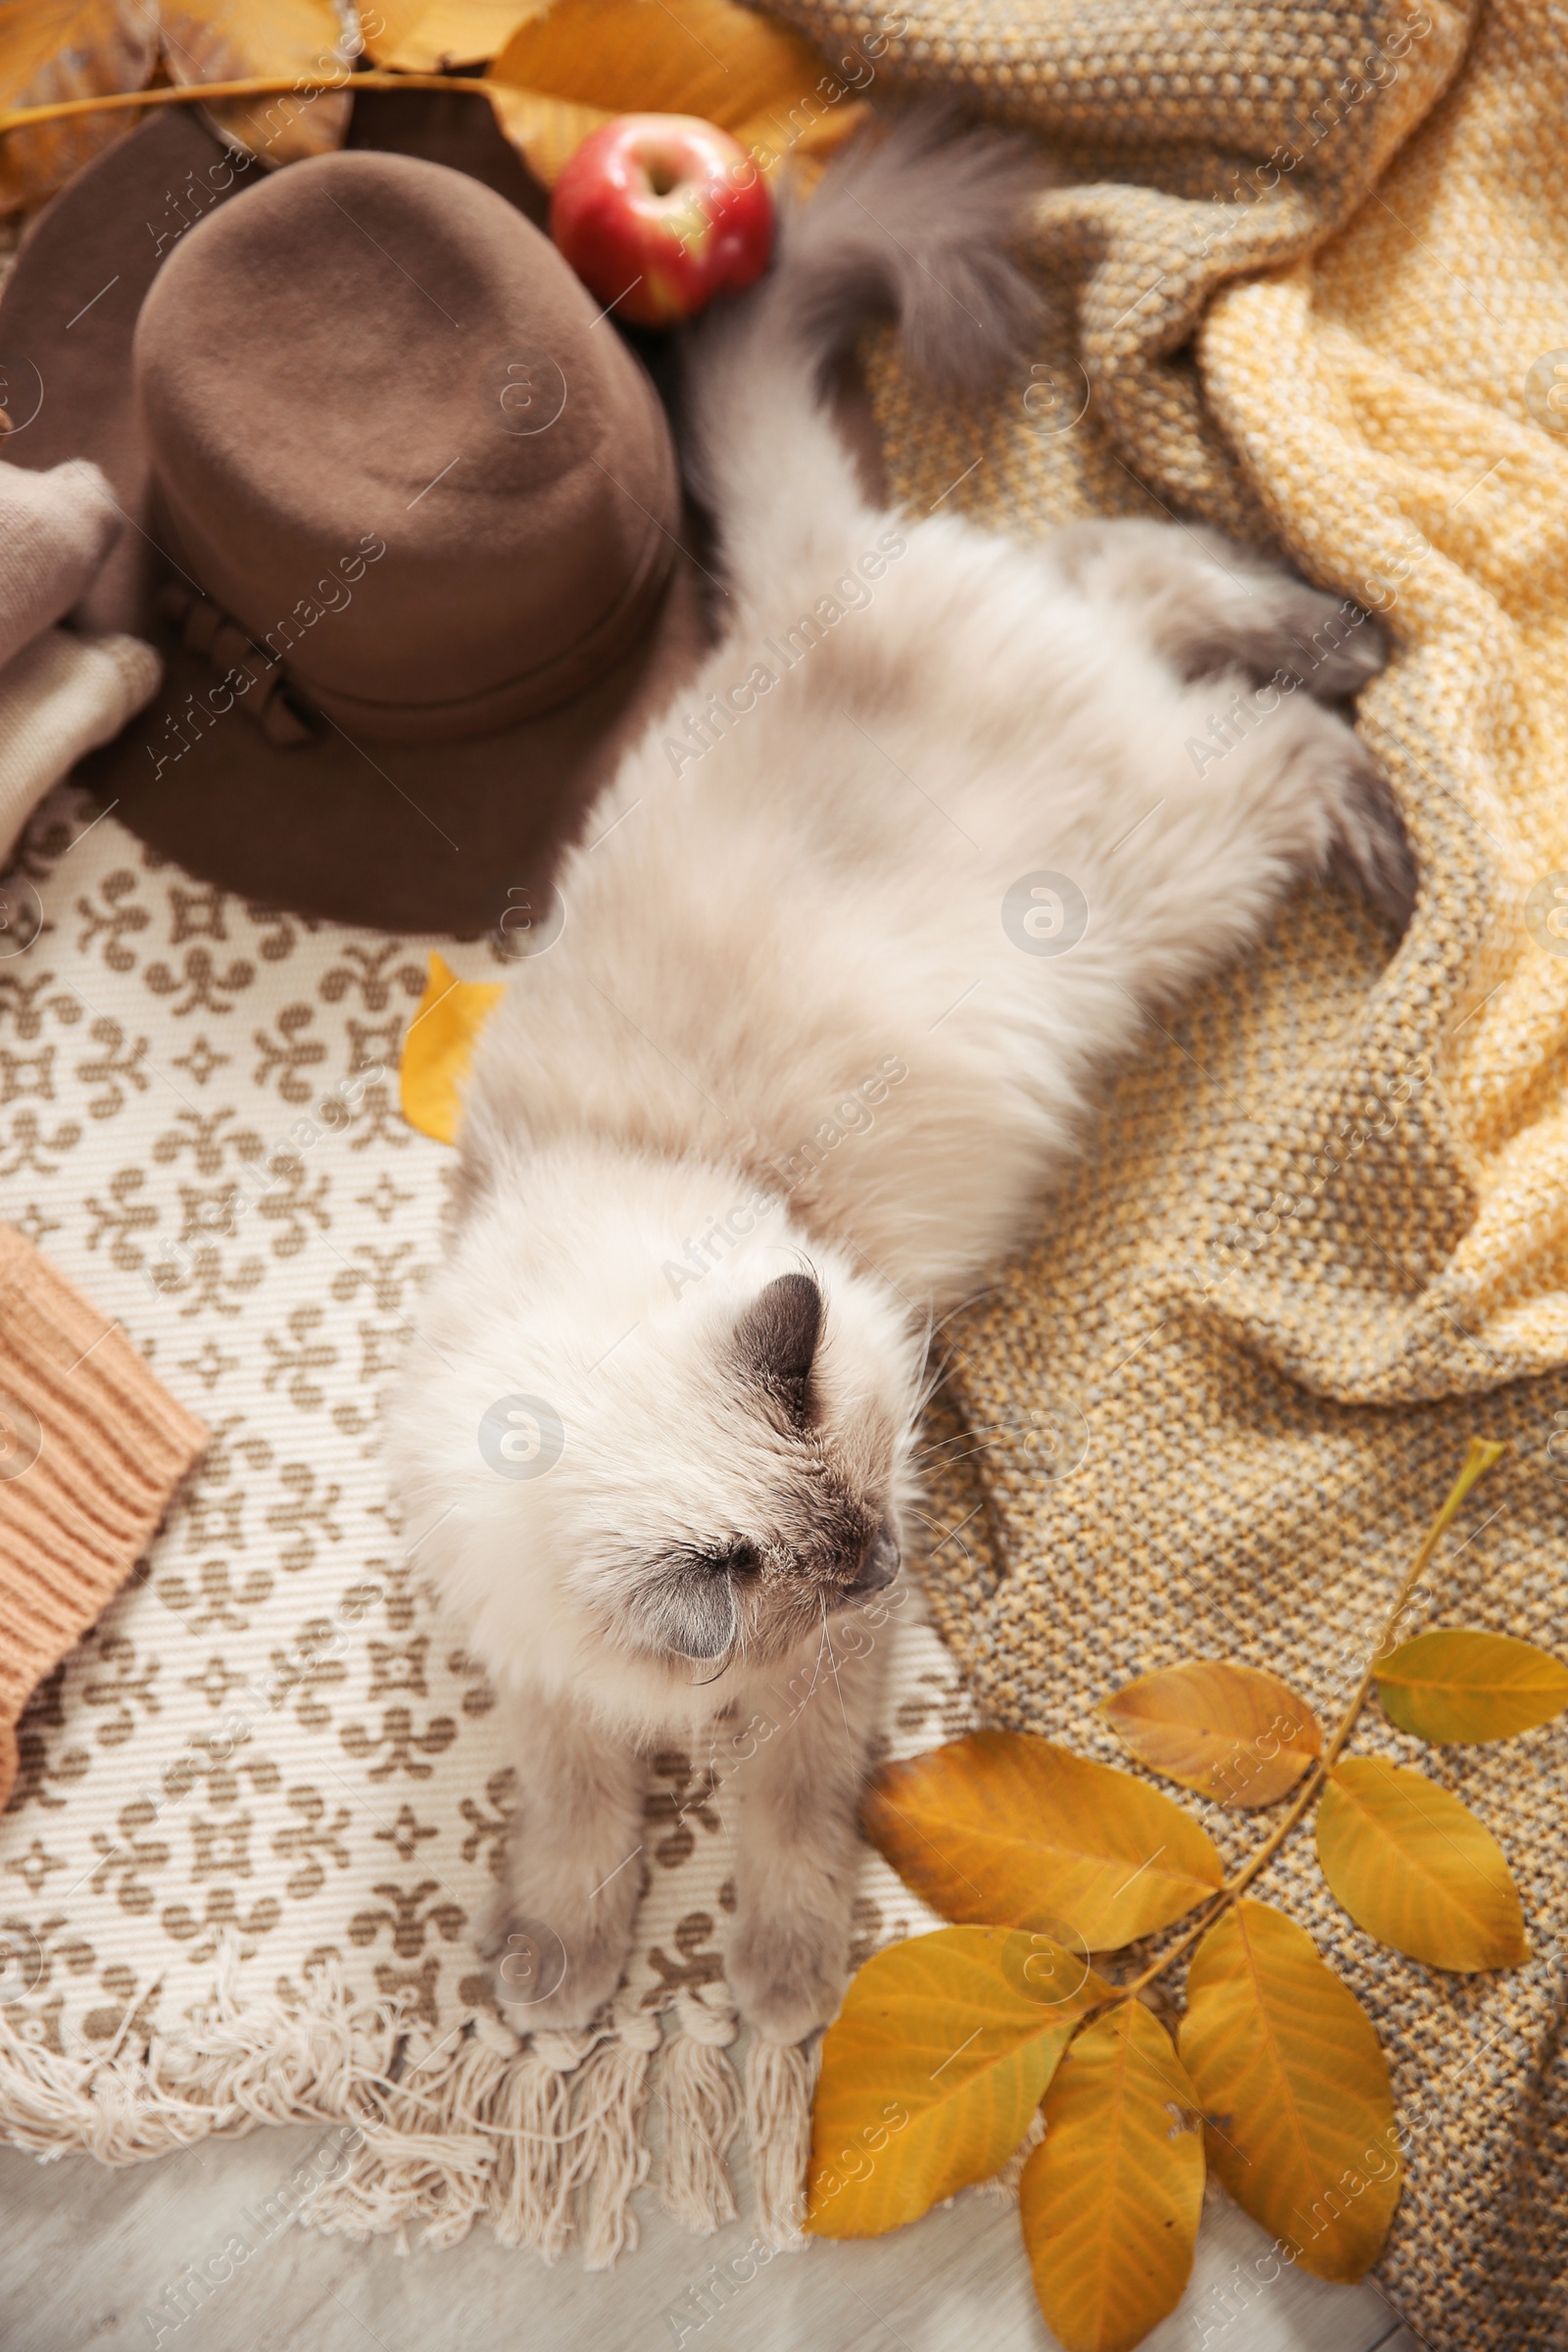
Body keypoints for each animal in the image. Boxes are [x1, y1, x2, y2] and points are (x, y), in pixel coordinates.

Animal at [390, 119, 1410, 2050]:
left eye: (876, 1533)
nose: (878, 1567)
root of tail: (807, 592)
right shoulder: (546, 1664)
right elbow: (574, 1806)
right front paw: (563, 1961)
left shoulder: (824, 1683)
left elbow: (785, 1818)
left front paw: (783, 1987)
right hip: (1123, 744)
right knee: (1124, 572)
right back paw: (1330, 634)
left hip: (1168, 874)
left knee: (1276, 726)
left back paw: (1365, 733)